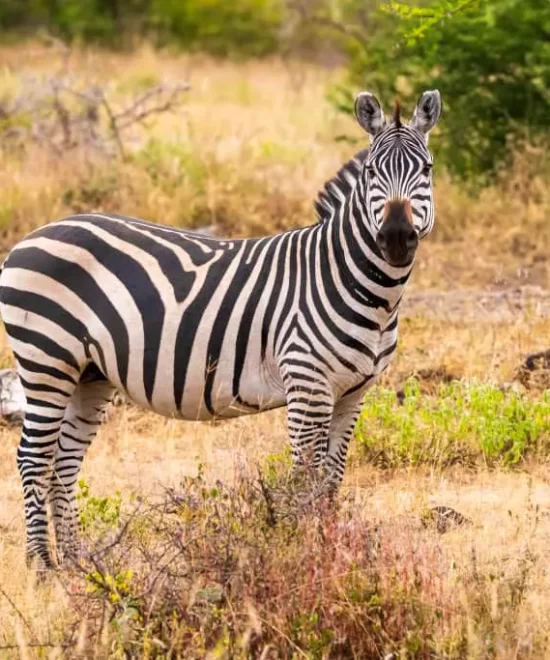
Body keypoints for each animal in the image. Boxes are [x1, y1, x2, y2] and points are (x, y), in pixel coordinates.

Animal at [0, 90, 442, 568]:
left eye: (427, 169)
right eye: (371, 172)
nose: (396, 238)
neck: (358, 285)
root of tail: (30, 237)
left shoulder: (354, 393)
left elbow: (332, 477)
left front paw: (331, 553)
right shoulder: (307, 385)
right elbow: (304, 477)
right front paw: (305, 551)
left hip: (89, 373)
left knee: (63, 461)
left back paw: (79, 565)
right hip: (47, 360)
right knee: (33, 458)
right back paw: (43, 566)